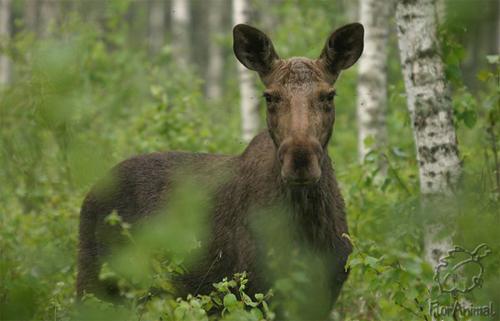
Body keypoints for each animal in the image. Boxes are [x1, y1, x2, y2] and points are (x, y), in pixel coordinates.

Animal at [78, 23, 366, 316]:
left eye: (328, 95)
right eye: (270, 96)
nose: (300, 160)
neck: (307, 226)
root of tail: (91, 192)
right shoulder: (253, 289)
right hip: (92, 283)